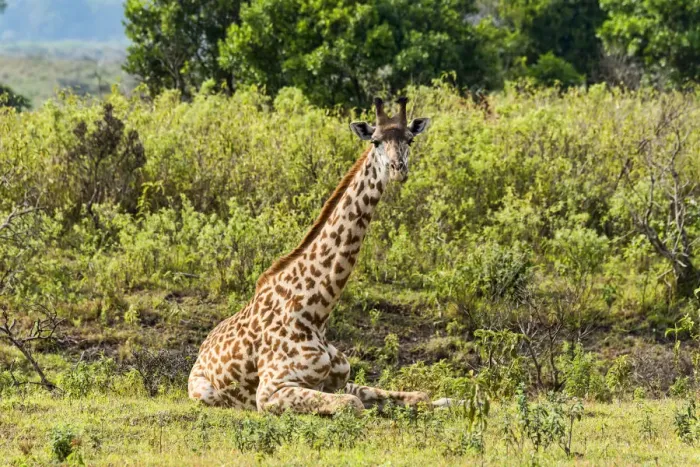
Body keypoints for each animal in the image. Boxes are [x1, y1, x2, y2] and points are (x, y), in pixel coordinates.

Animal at [188, 97, 432, 415]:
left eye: (409, 140)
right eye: (376, 141)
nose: (397, 169)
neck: (315, 313)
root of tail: (200, 350)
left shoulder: (339, 380)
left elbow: (421, 395)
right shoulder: (270, 391)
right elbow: (353, 405)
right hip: (206, 394)